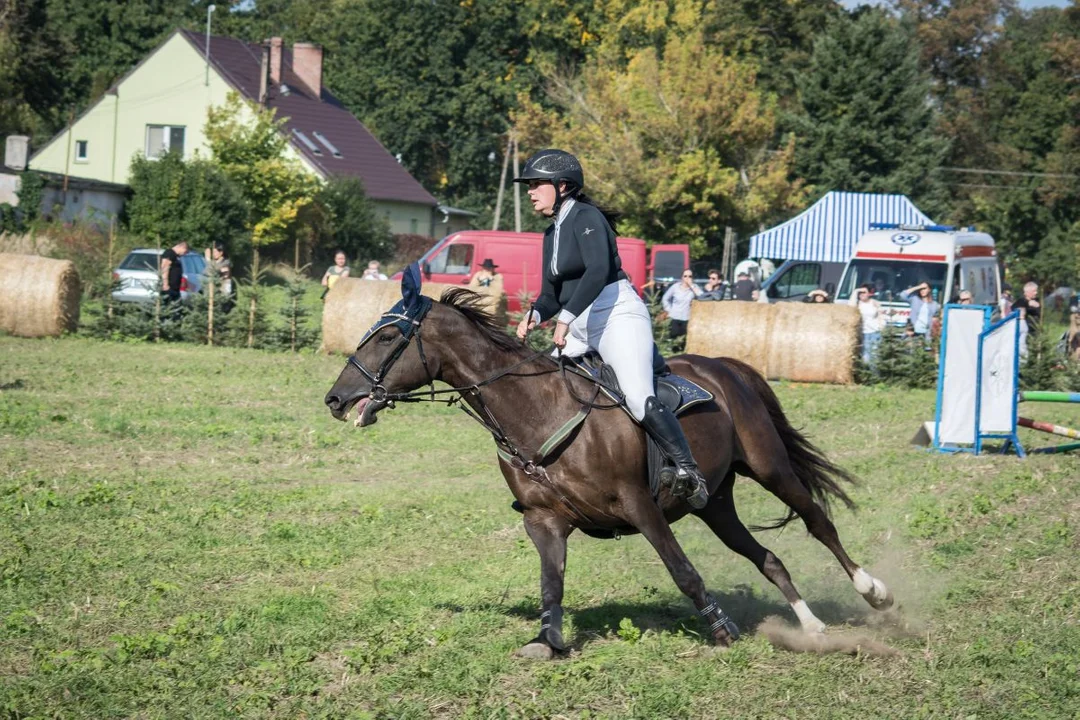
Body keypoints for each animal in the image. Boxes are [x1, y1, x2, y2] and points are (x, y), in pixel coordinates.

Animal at [321, 274, 894, 660]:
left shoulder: (641, 506)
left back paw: (874, 591)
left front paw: (722, 629)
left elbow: (682, 571)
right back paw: (810, 625)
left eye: (387, 338)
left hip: (768, 467)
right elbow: (551, 582)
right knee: (768, 557)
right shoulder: (544, 521)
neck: (535, 408)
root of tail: (726, 365)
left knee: (818, 519)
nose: (335, 399)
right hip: (715, 502)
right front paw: (548, 640)